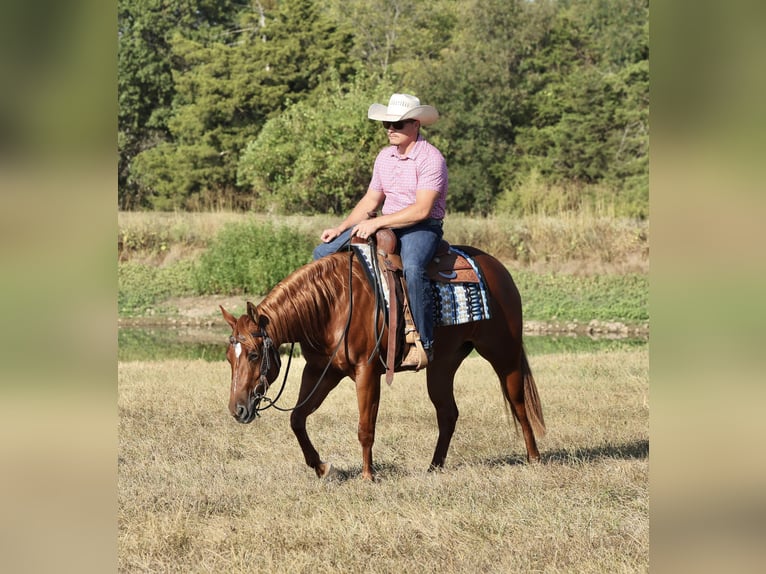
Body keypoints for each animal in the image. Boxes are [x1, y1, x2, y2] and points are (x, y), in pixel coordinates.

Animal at [220, 245, 545, 481]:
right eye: (228, 358)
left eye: (253, 354)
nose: (238, 410)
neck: (333, 305)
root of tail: (498, 268)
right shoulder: (321, 371)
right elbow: (297, 418)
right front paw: (323, 468)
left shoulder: (367, 372)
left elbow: (366, 427)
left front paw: (367, 476)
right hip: (443, 365)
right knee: (448, 414)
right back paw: (434, 467)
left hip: (503, 353)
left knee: (519, 403)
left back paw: (534, 458)